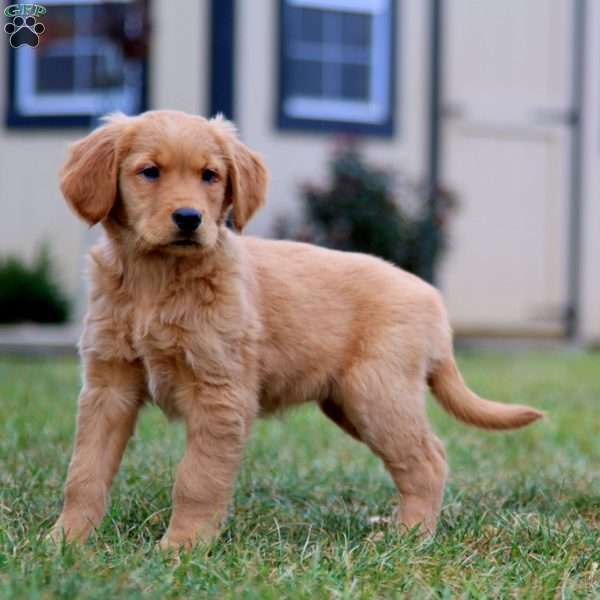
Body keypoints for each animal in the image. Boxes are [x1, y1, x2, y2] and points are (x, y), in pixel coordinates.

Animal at [51, 108, 544, 548]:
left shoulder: (220, 393)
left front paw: (182, 547)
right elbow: (84, 470)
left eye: (210, 175)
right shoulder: (108, 387)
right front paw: (67, 540)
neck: (155, 282)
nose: (190, 219)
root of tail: (432, 298)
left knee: (429, 460)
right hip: (348, 403)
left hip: (378, 394)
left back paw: (409, 537)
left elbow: (197, 478)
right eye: (149, 172)